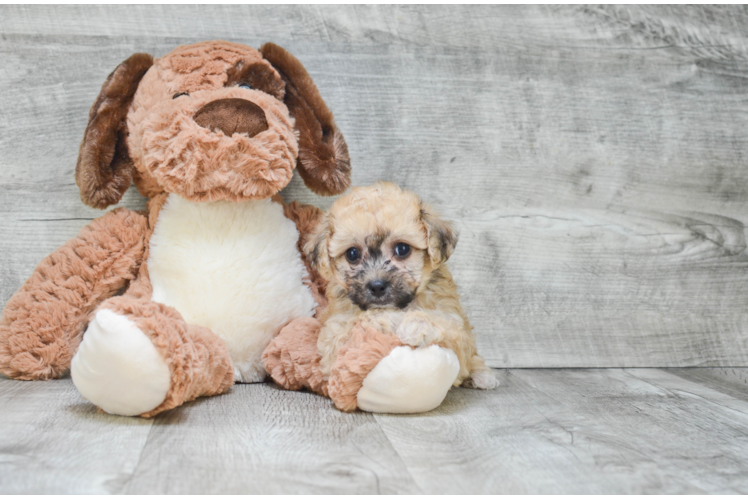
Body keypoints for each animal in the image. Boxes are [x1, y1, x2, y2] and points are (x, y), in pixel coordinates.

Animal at [306, 182, 500, 388]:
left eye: (402, 249)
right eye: (352, 254)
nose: (377, 286)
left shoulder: (456, 324)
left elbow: (449, 327)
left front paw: (415, 326)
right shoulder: (333, 330)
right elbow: (354, 325)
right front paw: (384, 319)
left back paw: (482, 374)